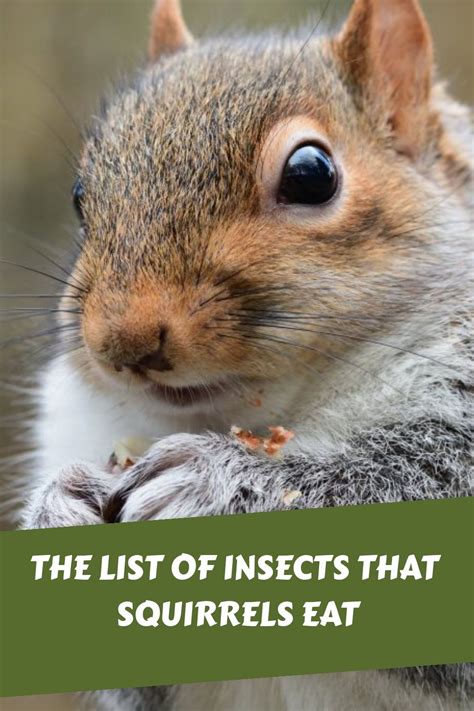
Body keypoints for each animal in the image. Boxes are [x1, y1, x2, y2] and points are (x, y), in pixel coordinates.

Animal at [17, 0, 472, 708]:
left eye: (311, 175)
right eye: (79, 196)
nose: (122, 341)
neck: (271, 412)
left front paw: (213, 481)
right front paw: (57, 507)